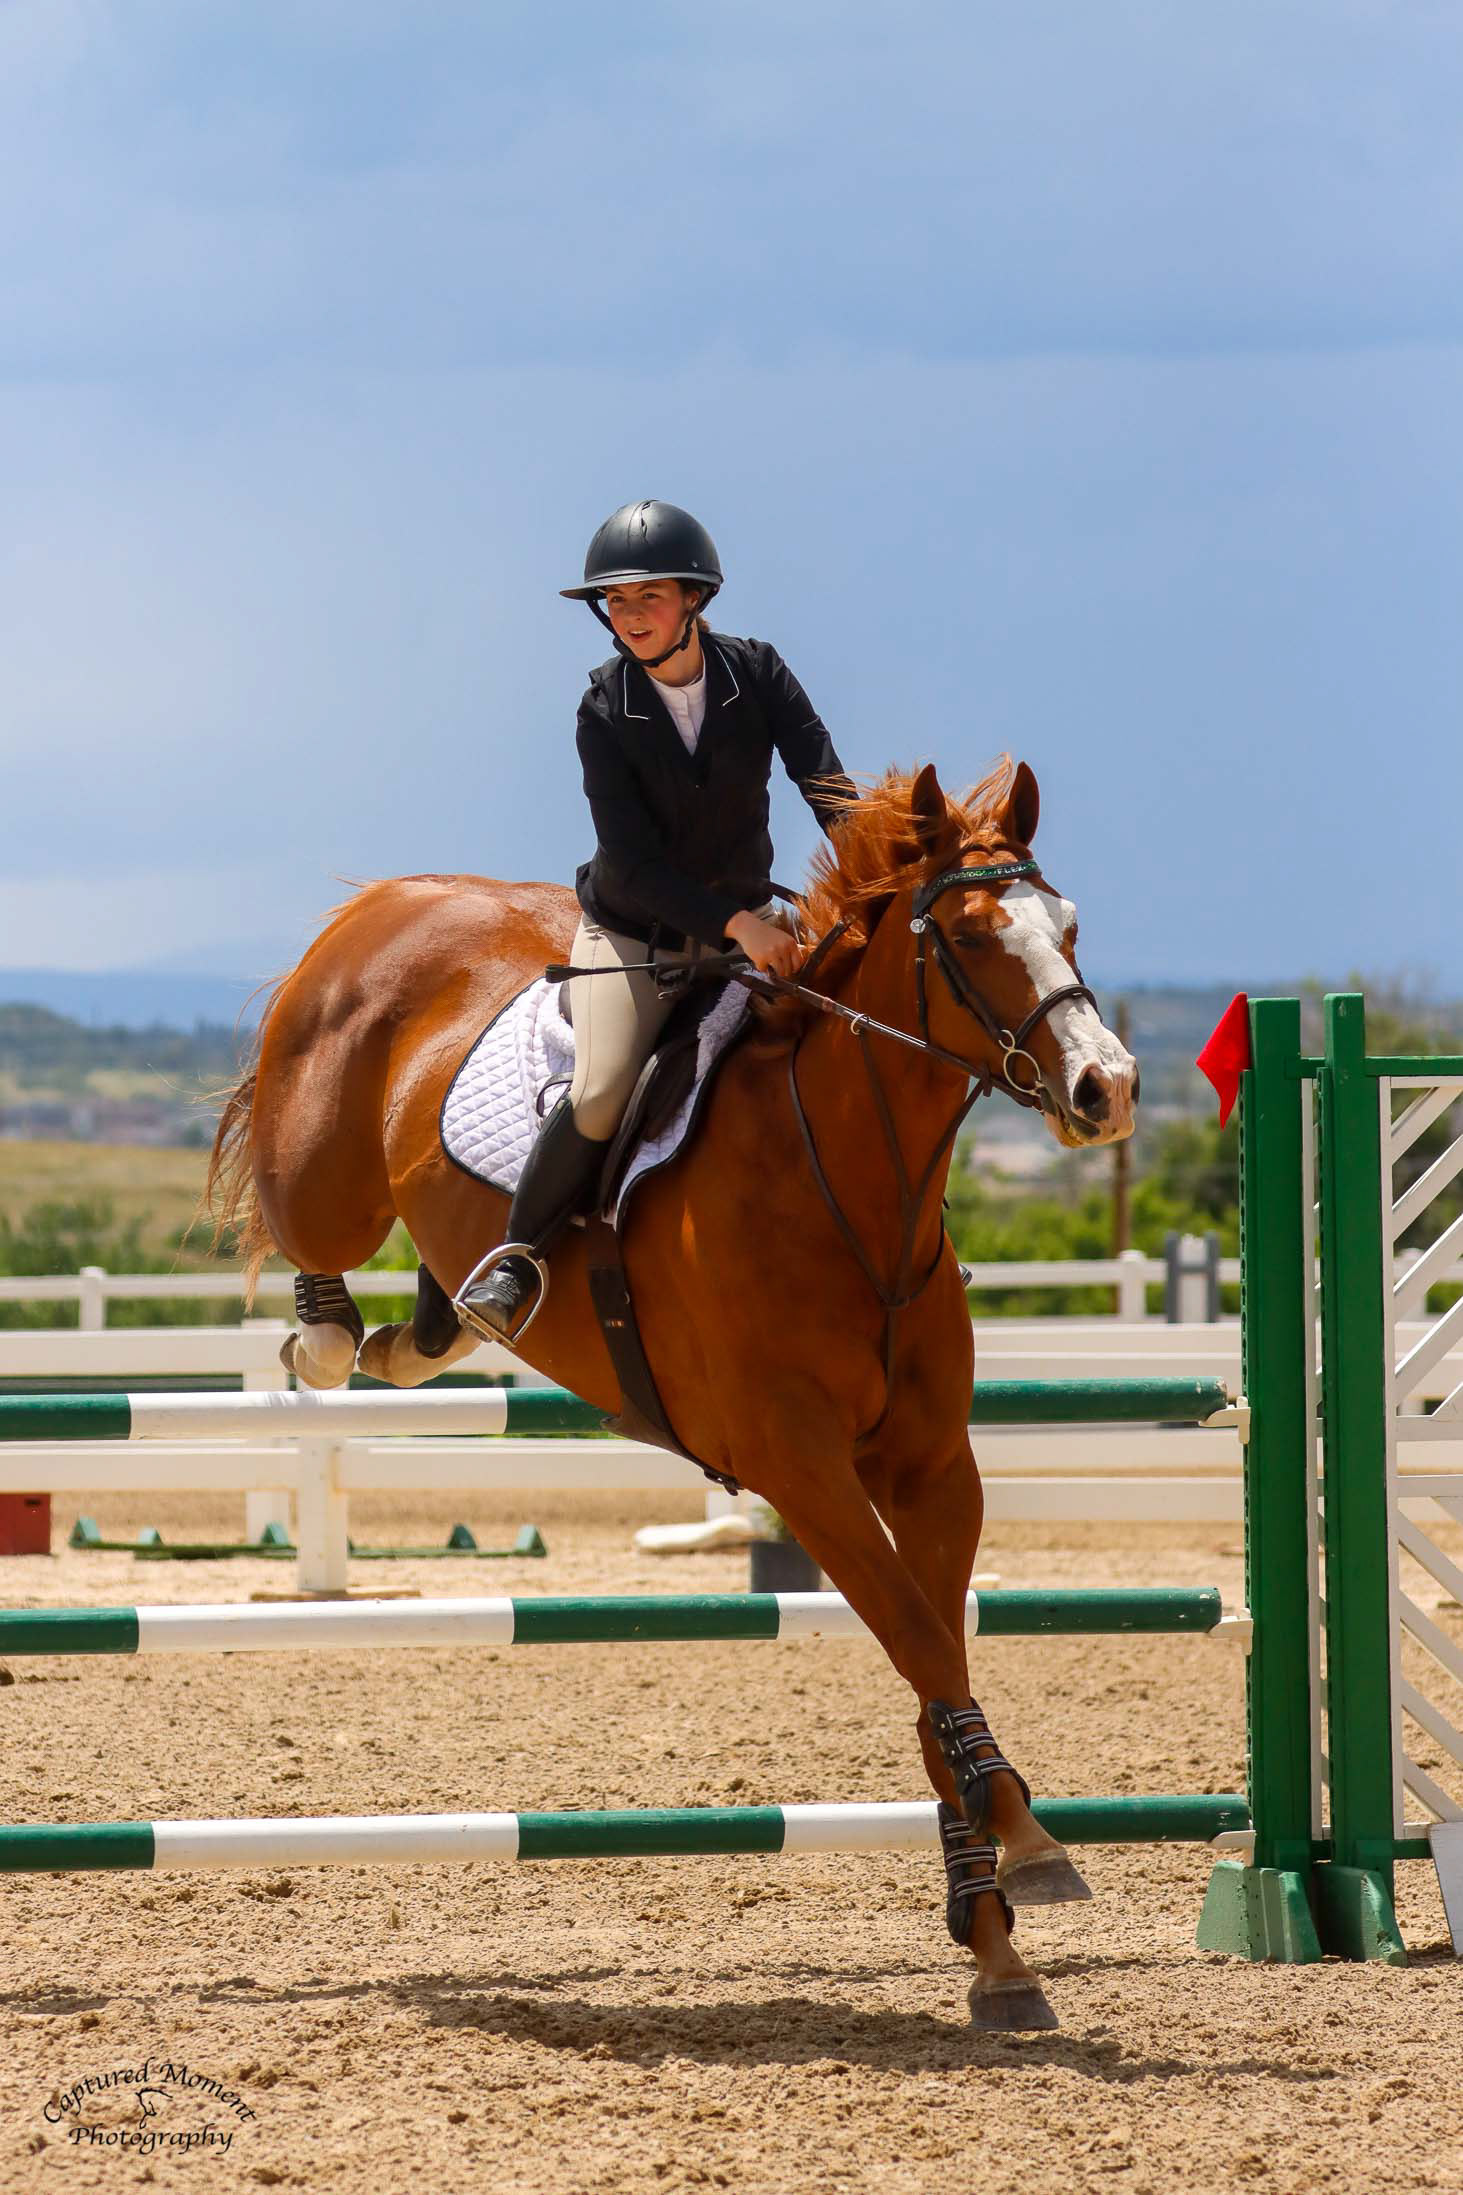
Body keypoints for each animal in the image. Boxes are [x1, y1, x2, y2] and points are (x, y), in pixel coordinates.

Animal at [204, 755, 1138, 2028]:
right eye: (966, 933)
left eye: (1069, 924)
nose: (1107, 1088)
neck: (845, 1181)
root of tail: (383, 901)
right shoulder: (802, 1466)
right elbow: (914, 1636)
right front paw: (1028, 1844)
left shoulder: (931, 1468)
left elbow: (931, 1656)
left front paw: (993, 1935)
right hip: (329, 1172)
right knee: (316, 1263)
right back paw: (338, 1338)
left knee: (432, 1300)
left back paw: (438, 1320)